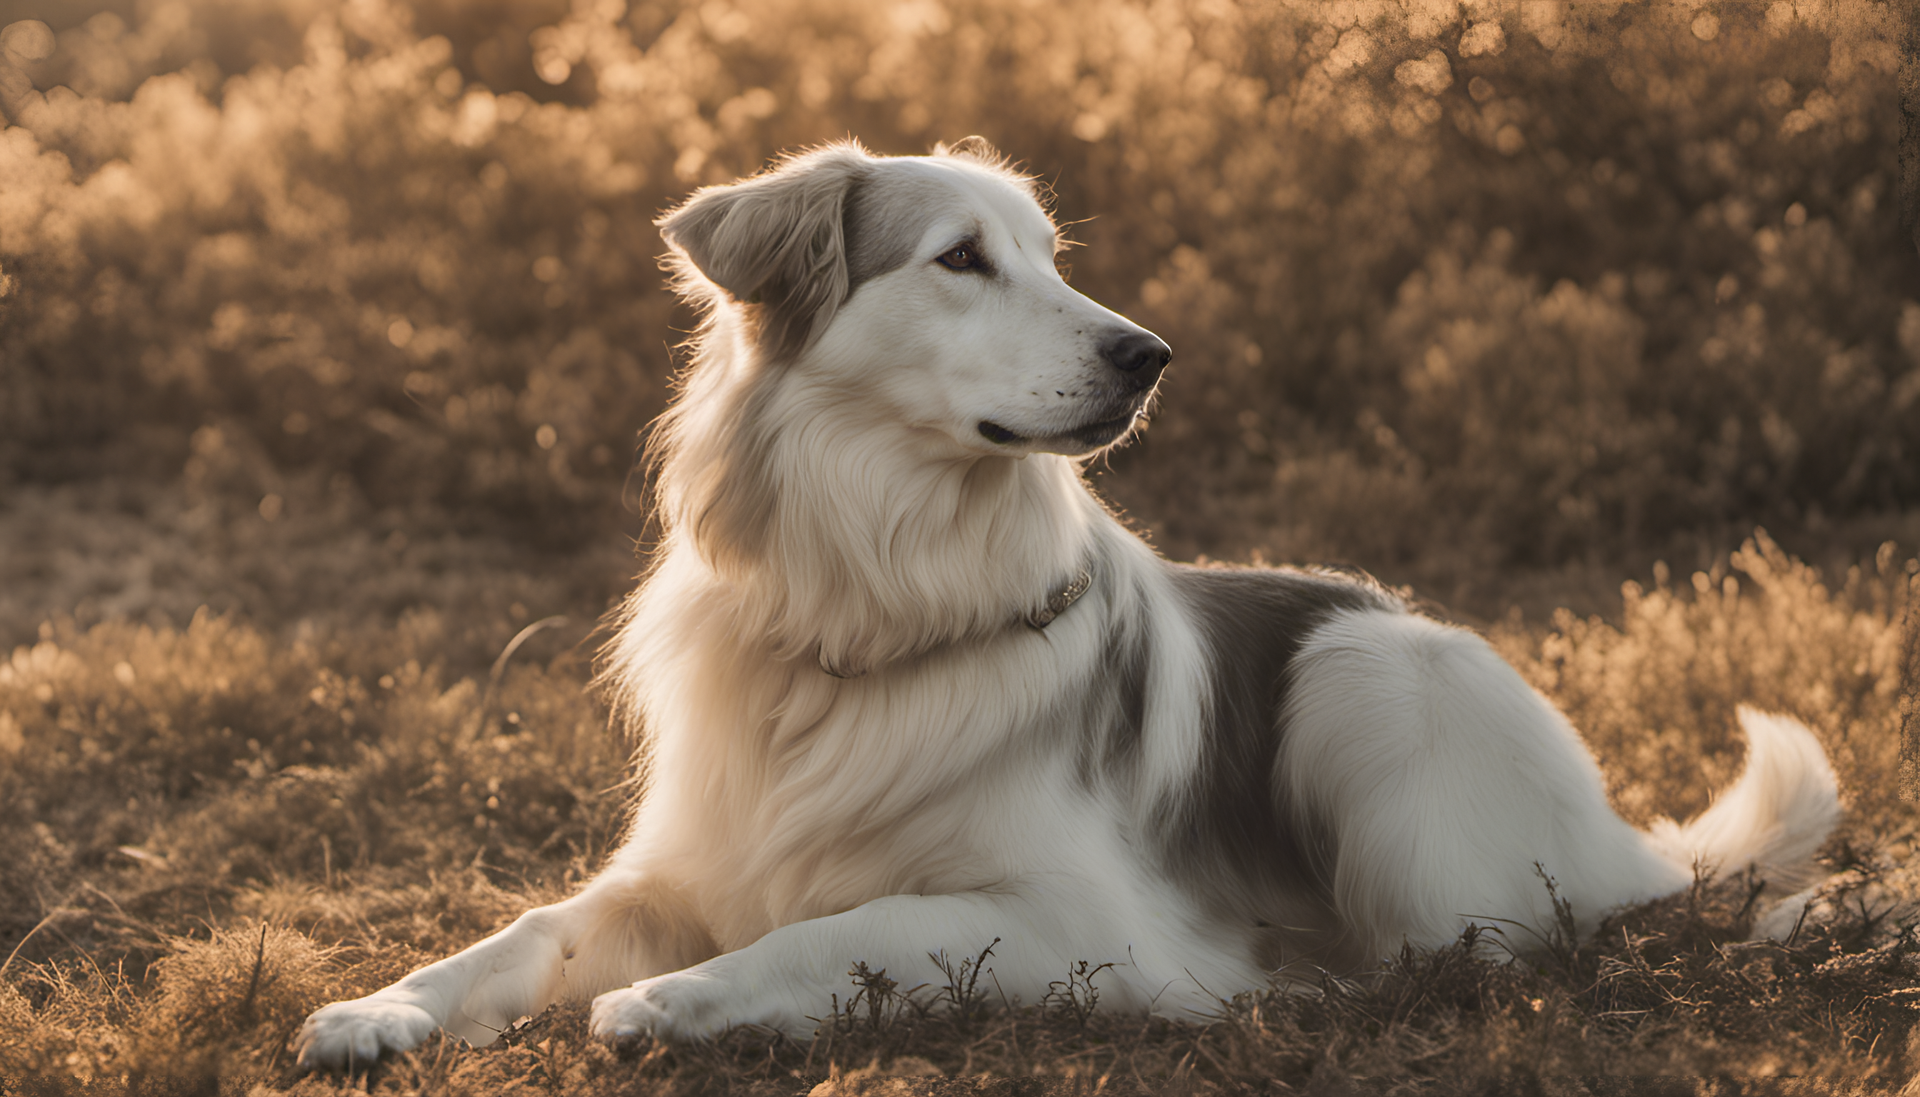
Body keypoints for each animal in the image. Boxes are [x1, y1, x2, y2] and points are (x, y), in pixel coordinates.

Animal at [295, 139, 1843, 1075]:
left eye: (1048, 255)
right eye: (962, 258)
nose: (1150, 353)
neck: (875, 590)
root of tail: (1621, 835)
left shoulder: (1084, 922)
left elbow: (851, 925)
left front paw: (683, 1000)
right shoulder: (675, 868)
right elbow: (521, 931)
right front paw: (383, 1007)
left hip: (1366, 675)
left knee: (1473, 947)